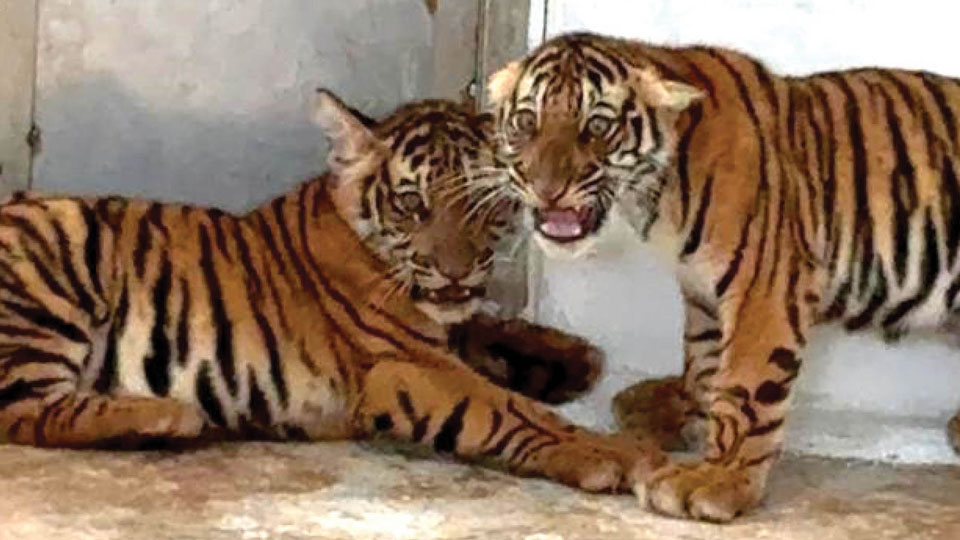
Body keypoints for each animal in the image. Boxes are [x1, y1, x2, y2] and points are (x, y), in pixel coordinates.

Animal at [0, 89, 667, 492]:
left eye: (482, 207)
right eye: (412, 205)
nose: (455, 272)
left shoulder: (441, 329)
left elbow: (485, 329)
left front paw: (573, 358)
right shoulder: (403, 366)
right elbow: (510, 407)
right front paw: (617, 454)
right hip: (56, 250)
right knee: (24, 410)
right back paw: (166, 417)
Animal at [486, 31, 960, 521]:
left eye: (597, 126)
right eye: (526, 121)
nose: (545, 189)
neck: (658, 190)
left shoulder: (764, 287)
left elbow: (746, 385)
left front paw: (717, 480)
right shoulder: (702, 293)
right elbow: (704, 366)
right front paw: (694, 425)